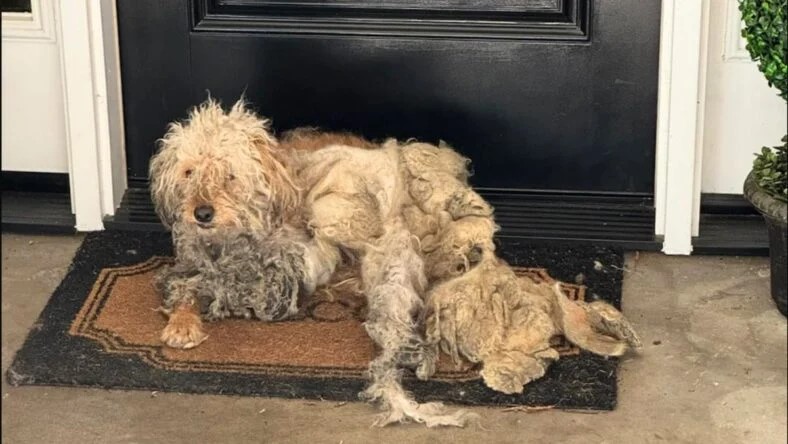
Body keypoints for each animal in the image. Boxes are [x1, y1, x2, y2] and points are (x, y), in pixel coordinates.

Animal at [148, 98, 640, 426]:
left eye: (230, 174)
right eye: (189, 171)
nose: (201, 213)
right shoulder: (193, 260)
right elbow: (185, 282)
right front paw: (183, 321)